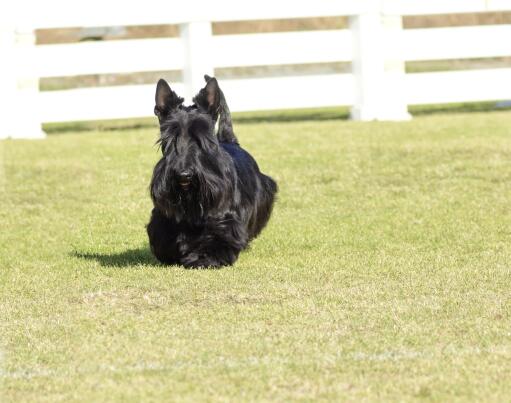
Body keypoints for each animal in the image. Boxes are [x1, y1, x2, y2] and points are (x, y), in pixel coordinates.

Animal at [146, 76, 278, 268]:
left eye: (202, 136)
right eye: (169, 137)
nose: (184, 175)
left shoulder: (224, 221)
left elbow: (217, 241)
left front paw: (203, 258)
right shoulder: (164, 220)